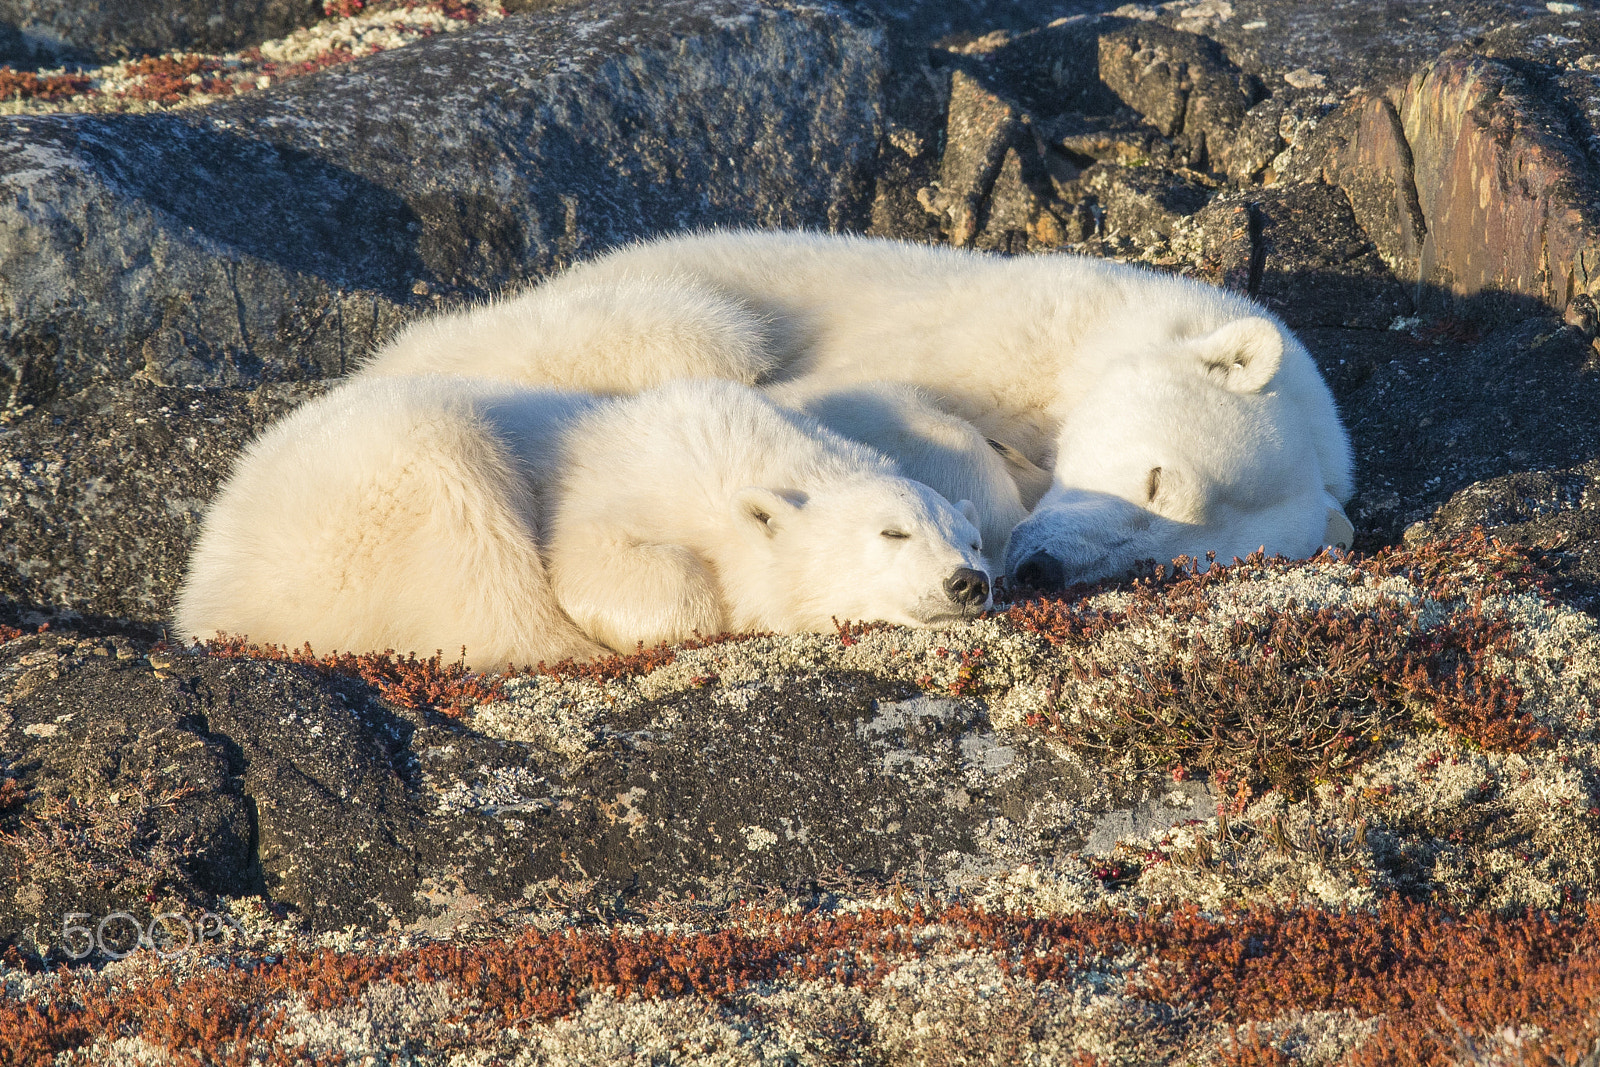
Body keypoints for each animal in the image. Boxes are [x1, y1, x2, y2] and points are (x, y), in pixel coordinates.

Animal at [181, 371, 992, 662]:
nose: (967, 583)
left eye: (975, 541)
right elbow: (596, 562)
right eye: (893, 531)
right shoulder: (623, 483)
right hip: (381, 489)